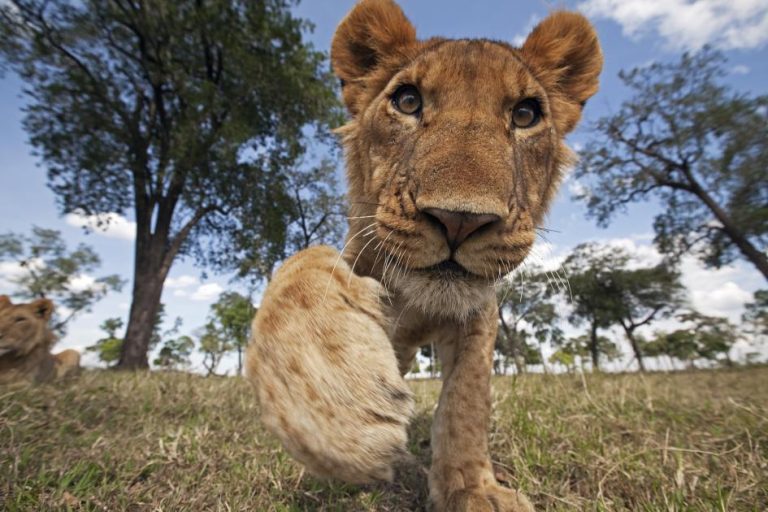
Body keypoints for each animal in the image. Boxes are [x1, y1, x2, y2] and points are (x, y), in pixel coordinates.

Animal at [246, 1, 602, 510]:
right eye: (408, 101)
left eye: (525, 113)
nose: (459, 220)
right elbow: (304, 263)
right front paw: (338, 413)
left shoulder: (478, 315)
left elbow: (466, 399)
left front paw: (473, 489)